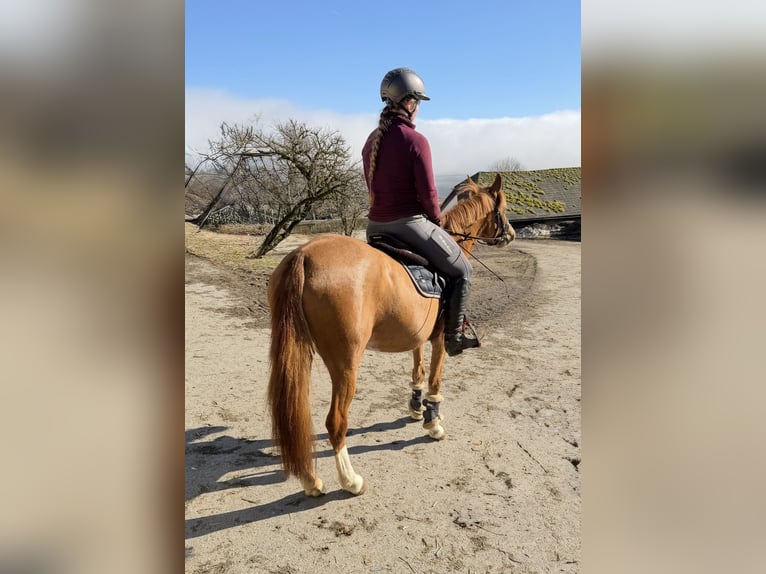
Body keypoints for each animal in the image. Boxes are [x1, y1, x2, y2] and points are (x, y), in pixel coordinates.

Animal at [266, 174, 514, 496]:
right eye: (503, 207)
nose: (511, 234)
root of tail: (303, 254)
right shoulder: (439, 339)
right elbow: (435, 378)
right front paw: (433, 422)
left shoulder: (417, 335)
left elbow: (417, 369)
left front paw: (416, 408)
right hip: (345, 365)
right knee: (336, 422)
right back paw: (350, 480)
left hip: (299, 353)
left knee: (298, 415)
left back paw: (311, 480)